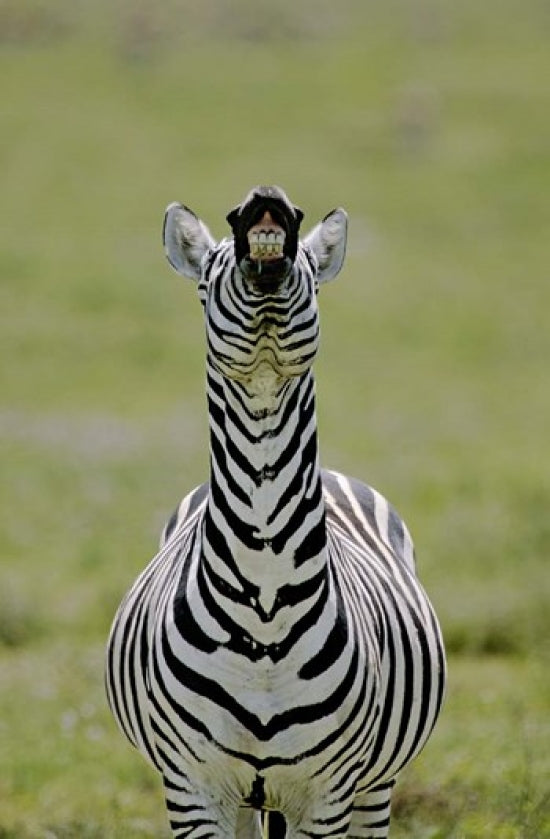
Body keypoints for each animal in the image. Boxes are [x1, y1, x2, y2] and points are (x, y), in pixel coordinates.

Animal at [105, 185, 446, 839]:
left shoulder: (328, 795)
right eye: (205, 280)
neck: (265, 604)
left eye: (311, 274)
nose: (266, 197)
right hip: (245, 800)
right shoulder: (192, 790)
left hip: (374, 787)